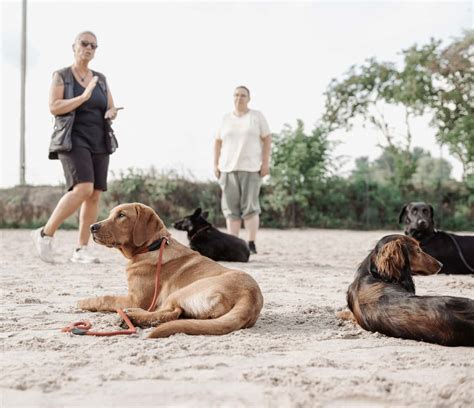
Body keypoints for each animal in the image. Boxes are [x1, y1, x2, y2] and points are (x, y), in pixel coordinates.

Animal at [78, 202, 262, 338]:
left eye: (121, 215)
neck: (153, 246)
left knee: (170, 312)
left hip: (181, 291)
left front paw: (84, 301)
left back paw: (132, 316)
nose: (92, 227)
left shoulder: (136, 299)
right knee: (174, 314)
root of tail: (250, 297)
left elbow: (106, 298)